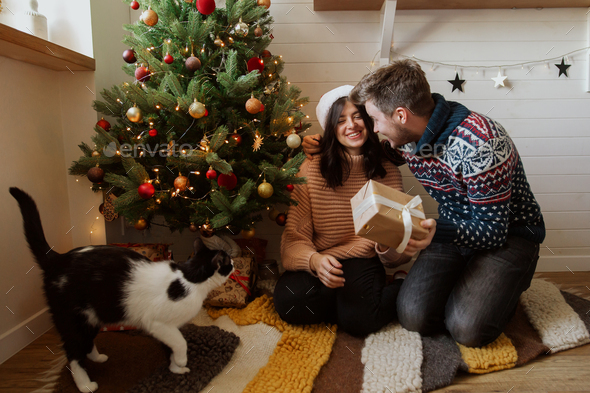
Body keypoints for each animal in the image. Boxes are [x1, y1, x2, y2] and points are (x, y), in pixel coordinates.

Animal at [8, 188, 236, 392]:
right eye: (227, 263)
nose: (234, 263)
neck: (190, 279)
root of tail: (58, 259)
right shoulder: (158, 323)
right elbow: (180, 343)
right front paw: (181, 361)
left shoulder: (170, 327)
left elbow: (170, 346)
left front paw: (175, 369)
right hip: (72, 319)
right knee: (73, 354)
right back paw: (84, 384)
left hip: (93, 316)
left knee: (85, 343)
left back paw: (97, 357)